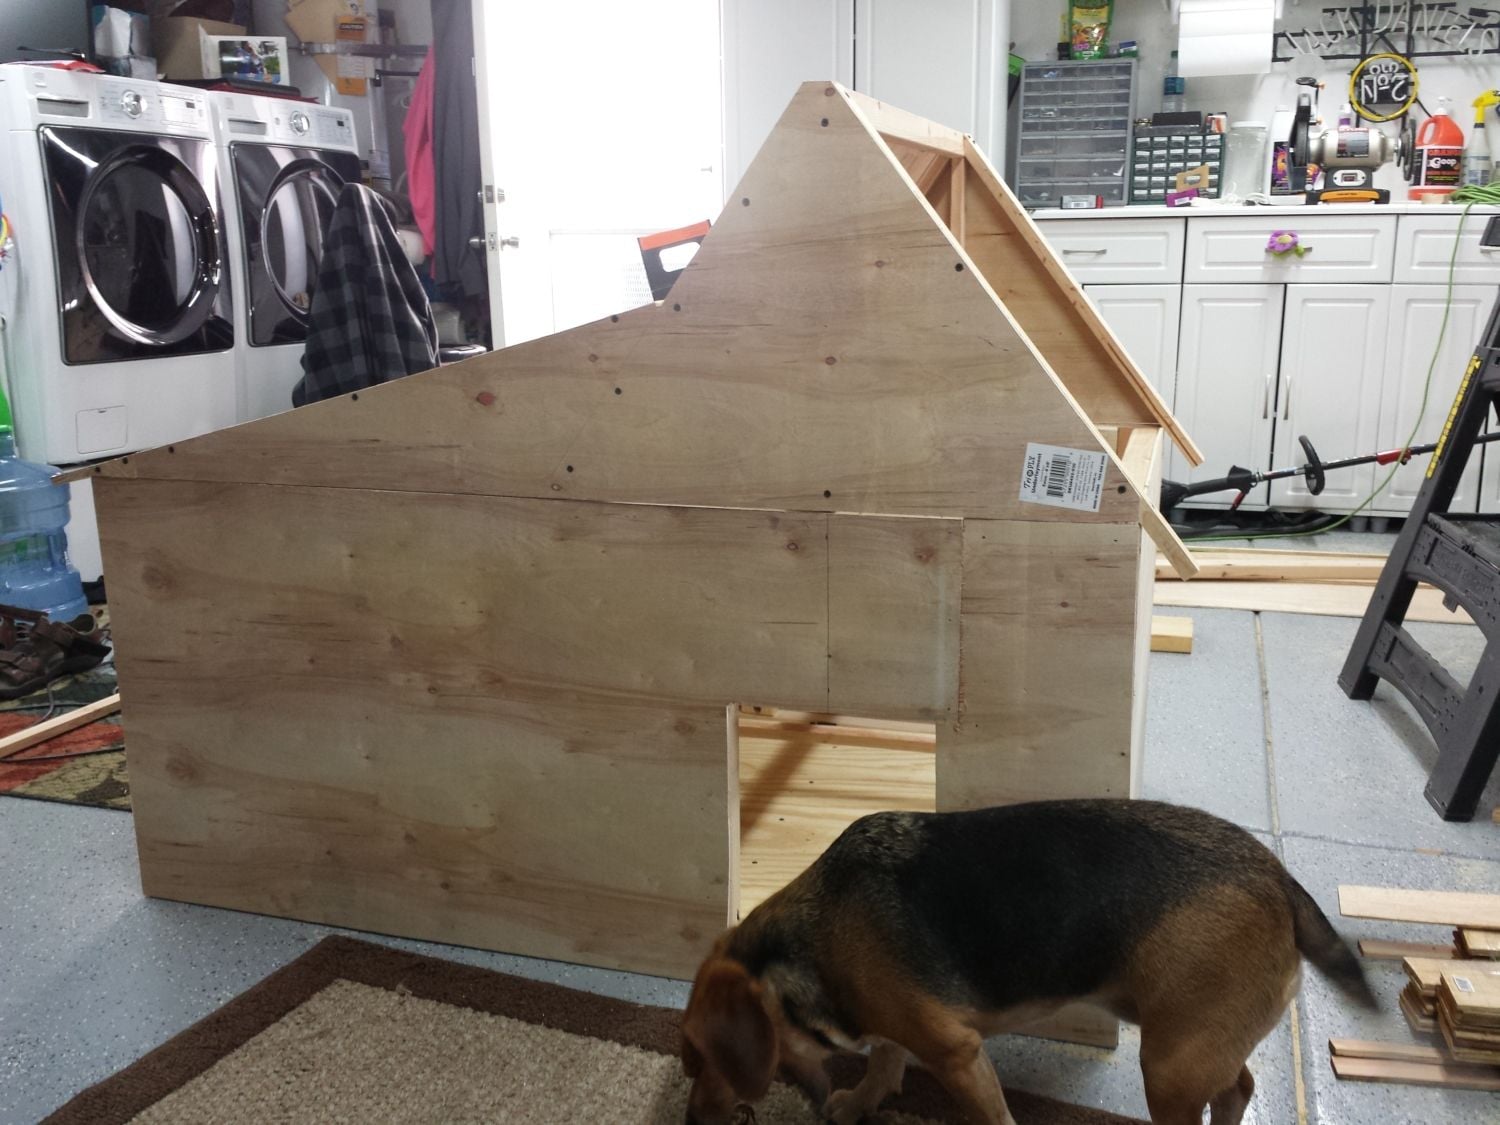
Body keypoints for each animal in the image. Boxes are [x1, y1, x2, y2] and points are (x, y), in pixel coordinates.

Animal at [680, 799, 1376, 1124]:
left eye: (698, 1059)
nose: (689, 1119)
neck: (807, 944)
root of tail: (1277, 875)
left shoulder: (957, 1054)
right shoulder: (897, 1029)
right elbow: (883, 1062)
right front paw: (858, 1103)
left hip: (1170, 1066)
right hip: (1192, 1048)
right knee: (1240, 1087)